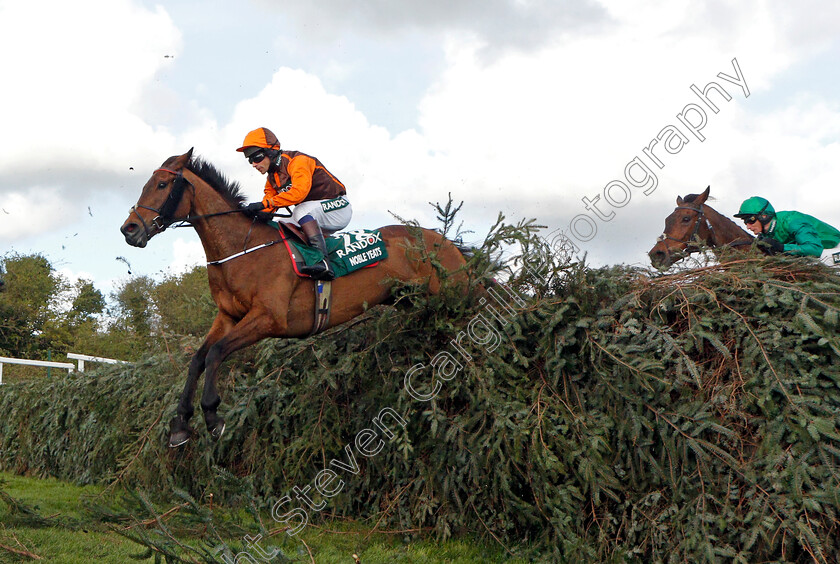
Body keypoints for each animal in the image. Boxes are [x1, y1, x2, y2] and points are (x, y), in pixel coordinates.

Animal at [120, 148, 470, 448]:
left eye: (162, 184)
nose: (129, 229)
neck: (242, 249)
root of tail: (443, 241)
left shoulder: (268, 319)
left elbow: (217, 353)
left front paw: (212, 415)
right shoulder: (228, 316)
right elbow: (197, 359)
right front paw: (180, 425)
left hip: (455, 292)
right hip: (414, 299)